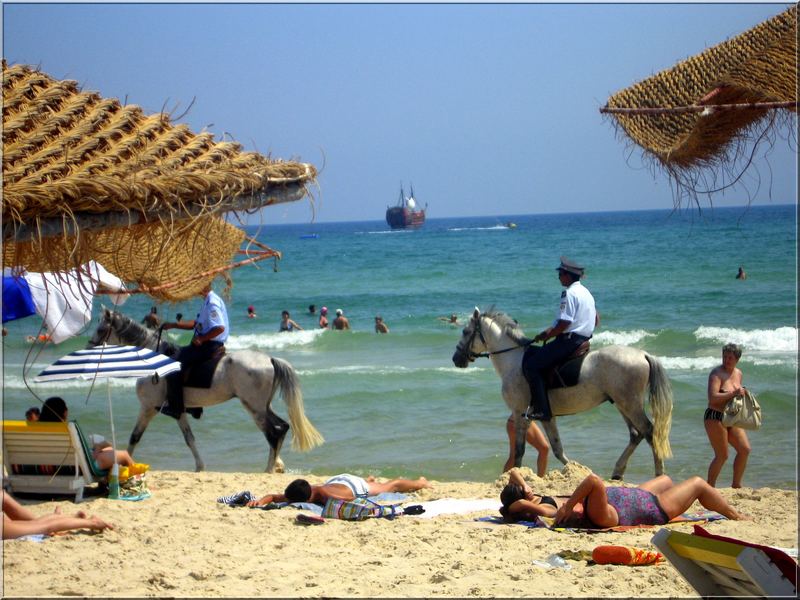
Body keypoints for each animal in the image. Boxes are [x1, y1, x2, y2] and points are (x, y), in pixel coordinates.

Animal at [89, 310, 324, 474]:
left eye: (100, 329)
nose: (89, 345)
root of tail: (269, 359)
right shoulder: (178, 411)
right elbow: (189, 439)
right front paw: (200, 466)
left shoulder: (148, 408)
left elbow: (134, 437)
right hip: (263, 406)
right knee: (282, 427)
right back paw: (275, 466)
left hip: (254, 408)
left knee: (273, 433)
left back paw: (267, 469)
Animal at [454, 310, 672, 478]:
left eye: (466, 332)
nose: (456, 358)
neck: (514, 360)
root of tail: (643, 354)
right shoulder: (546, 416)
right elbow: (558, 449)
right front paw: (578, 472)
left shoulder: (519, 414)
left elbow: (519, 451)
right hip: (622, 404)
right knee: (636, 434)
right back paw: (618, 472)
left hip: (629, 404)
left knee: (649, 432)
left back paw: (659, 474)